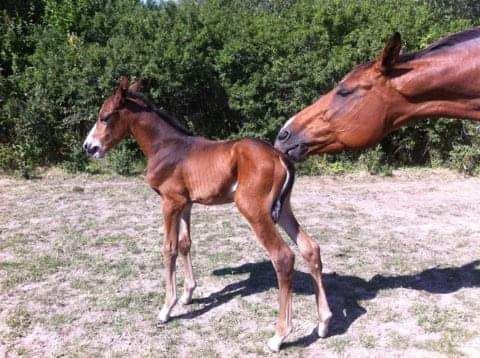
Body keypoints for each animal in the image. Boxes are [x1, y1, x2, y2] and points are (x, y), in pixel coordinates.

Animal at [83, 77, 330, 350]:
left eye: (105, 117)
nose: (89, 147)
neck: (166, 147)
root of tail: (279, 155)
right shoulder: (186, 204)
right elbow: (184, 244)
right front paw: (188, 294)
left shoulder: (170, 203)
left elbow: (168, 249)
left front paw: (166, 308)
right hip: (284, 208)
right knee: (310, 248)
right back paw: (324, 323)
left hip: (253, 209)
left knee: (283, 257)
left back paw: (279, 336)